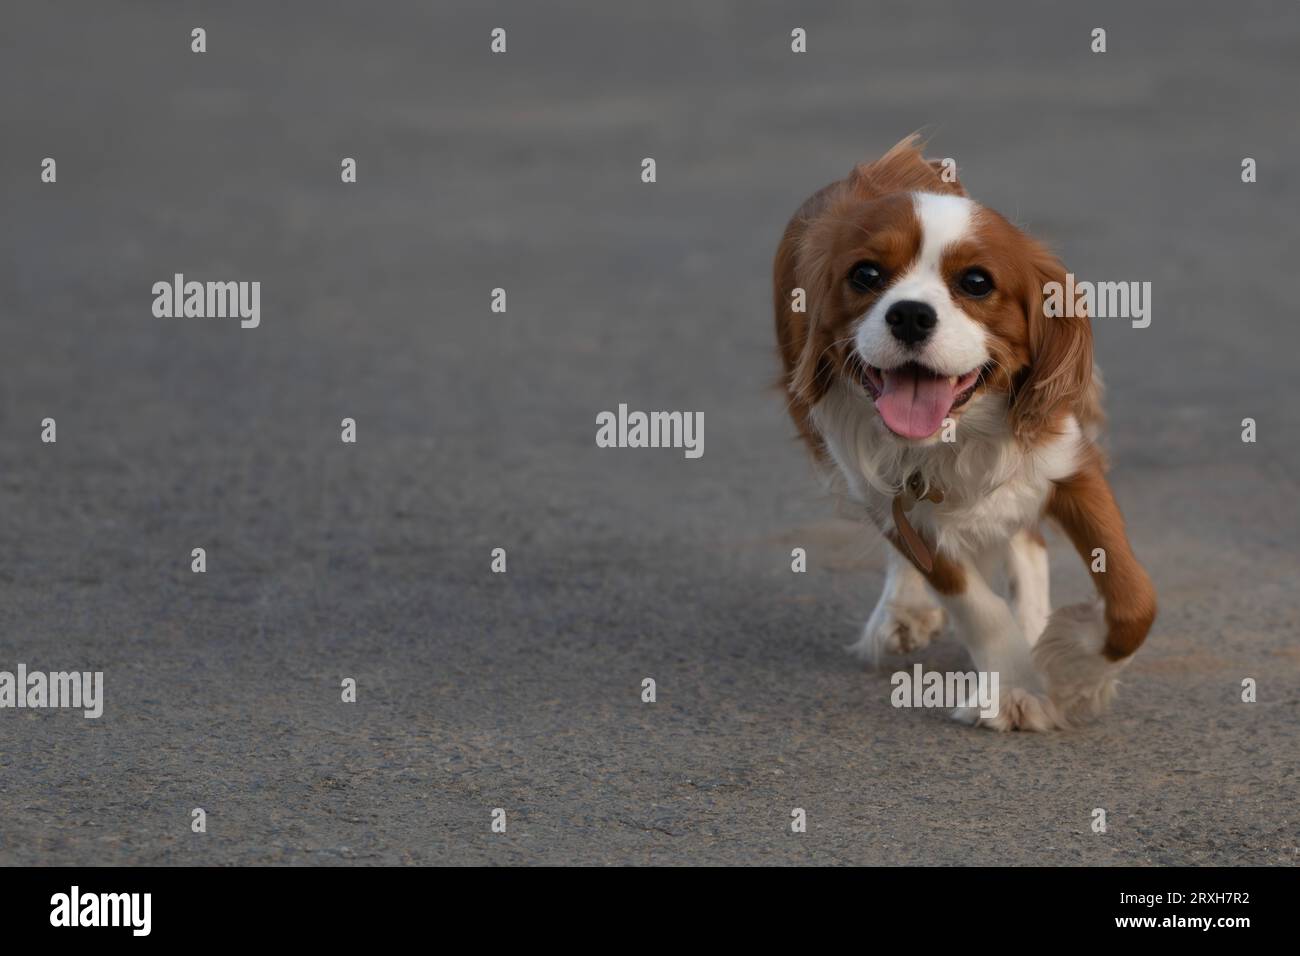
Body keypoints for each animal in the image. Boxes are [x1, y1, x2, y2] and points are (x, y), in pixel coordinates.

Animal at [769, 136, 1159, 733]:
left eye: (976, 282)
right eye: (865, 275)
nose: (909, 314)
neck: (954, 433)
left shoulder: (1067, 461)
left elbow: (1133, 598)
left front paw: (1071, 666)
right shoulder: (891, 497)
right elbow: (975, 604)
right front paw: (1015, 687)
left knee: (1026, 538)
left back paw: (1034, 619)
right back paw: (906, 610)